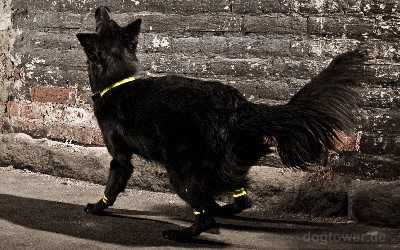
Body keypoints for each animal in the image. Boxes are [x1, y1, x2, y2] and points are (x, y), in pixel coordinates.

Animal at [76, 5, 368, 240]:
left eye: (102, 23)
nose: (100, 7)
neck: (117, 81)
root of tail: (239, 106)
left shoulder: (120, 158)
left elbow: (112, 186)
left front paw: (98, 207)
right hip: (225, 161)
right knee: (239, 198)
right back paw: (222, 209)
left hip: (181, 171)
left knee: (206, 215)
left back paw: (183, 233)